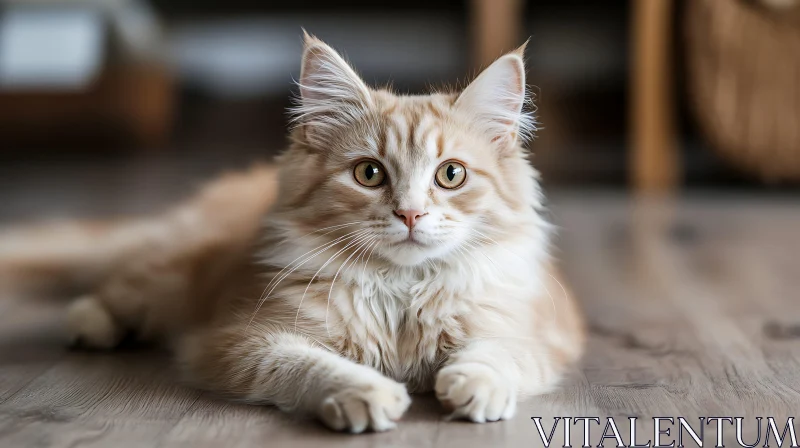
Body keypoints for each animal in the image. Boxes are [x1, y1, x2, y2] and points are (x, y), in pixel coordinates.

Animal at [1, 33, 588, 432]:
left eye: (451, 175)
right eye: (369, 174)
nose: (411, 215)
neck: (399, 292)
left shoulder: (530, 333)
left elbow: (497, 355)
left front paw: (473, 386)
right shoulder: (240, 339)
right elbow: (305, 364)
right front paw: (367, 393)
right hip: (171, 276)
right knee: (121, 286)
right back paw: (91, 324)